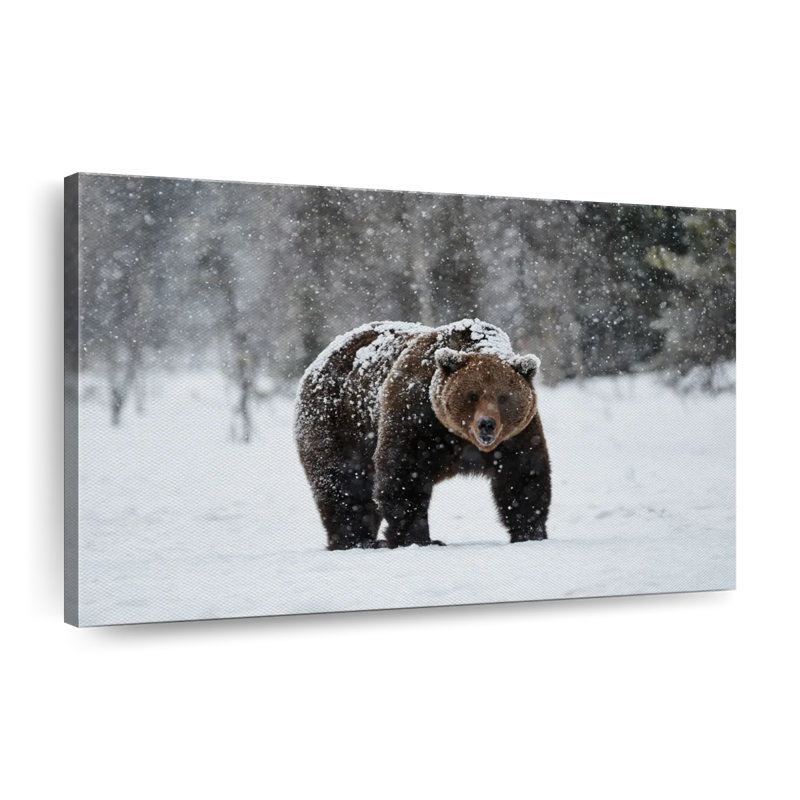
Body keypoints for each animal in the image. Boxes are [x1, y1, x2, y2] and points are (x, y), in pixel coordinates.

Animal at [294, 319, 551, 550]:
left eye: (503, 397)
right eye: (472, 395)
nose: (486, 424)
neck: (458, 437)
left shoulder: (516, 436)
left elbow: (523, 477)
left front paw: (530, 533)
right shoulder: (415, 416)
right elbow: (404, 476)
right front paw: (418, 538)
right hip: (338, 423)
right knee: (345, 485)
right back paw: (357, 541)